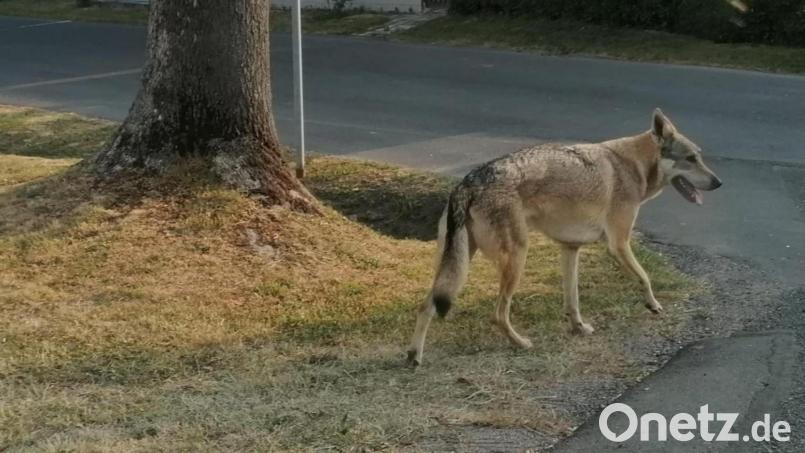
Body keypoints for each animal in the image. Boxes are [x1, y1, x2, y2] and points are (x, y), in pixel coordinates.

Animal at [407, 109, 722, 366]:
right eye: (691, 159)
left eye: (699, 157)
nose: (719, 182)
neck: (632, 166)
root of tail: (468, 181)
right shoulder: (618, 244)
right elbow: (645, 277)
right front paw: (654, 305)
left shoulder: (571, 249)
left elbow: (573, 301)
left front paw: (578, 328)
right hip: (516, 259)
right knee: (497, 314)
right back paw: (521, 344)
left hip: (456, 267)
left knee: (426, 306)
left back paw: (414, 357)